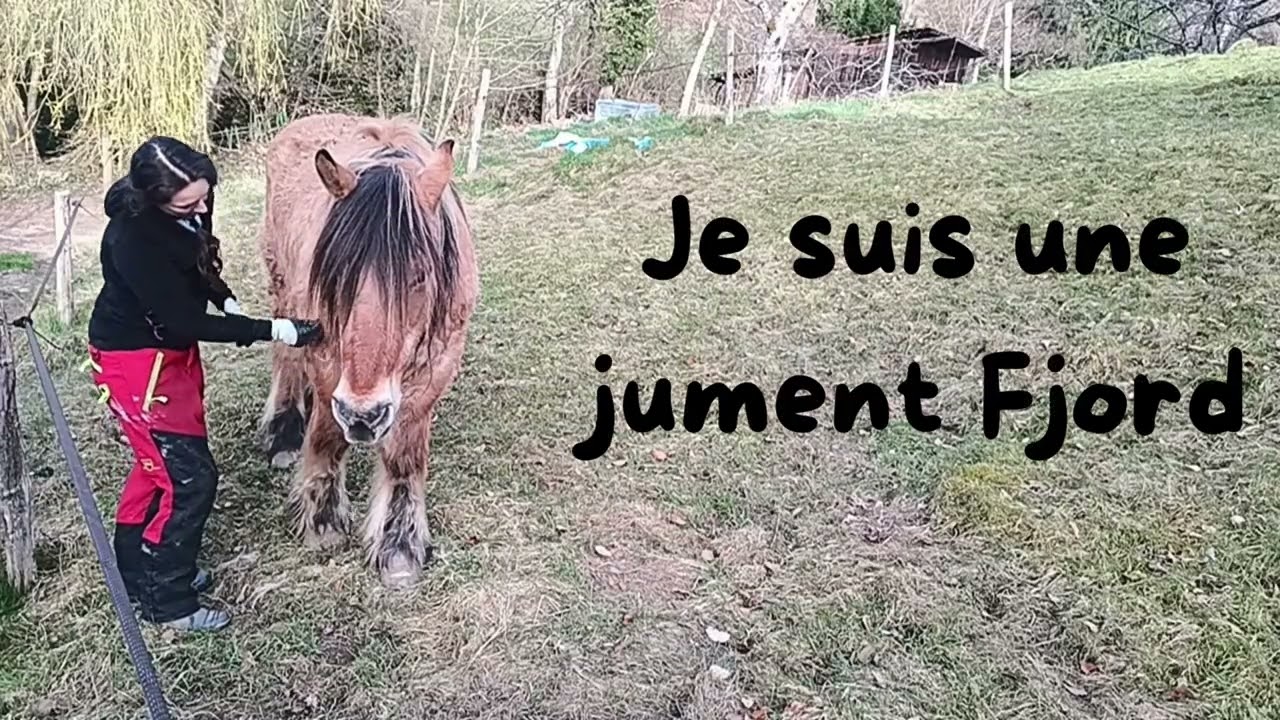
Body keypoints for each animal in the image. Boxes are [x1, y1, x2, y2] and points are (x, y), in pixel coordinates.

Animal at [256, 113, 478, 587]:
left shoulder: (435, 370)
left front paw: (399, 546)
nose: (363, 416)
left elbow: (403, 459)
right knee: (286, 359)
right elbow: (325, 438)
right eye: (338, 275)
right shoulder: (326, 364)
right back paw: (284, 430)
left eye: (419, 276)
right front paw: (323, 523)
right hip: (281, 288)